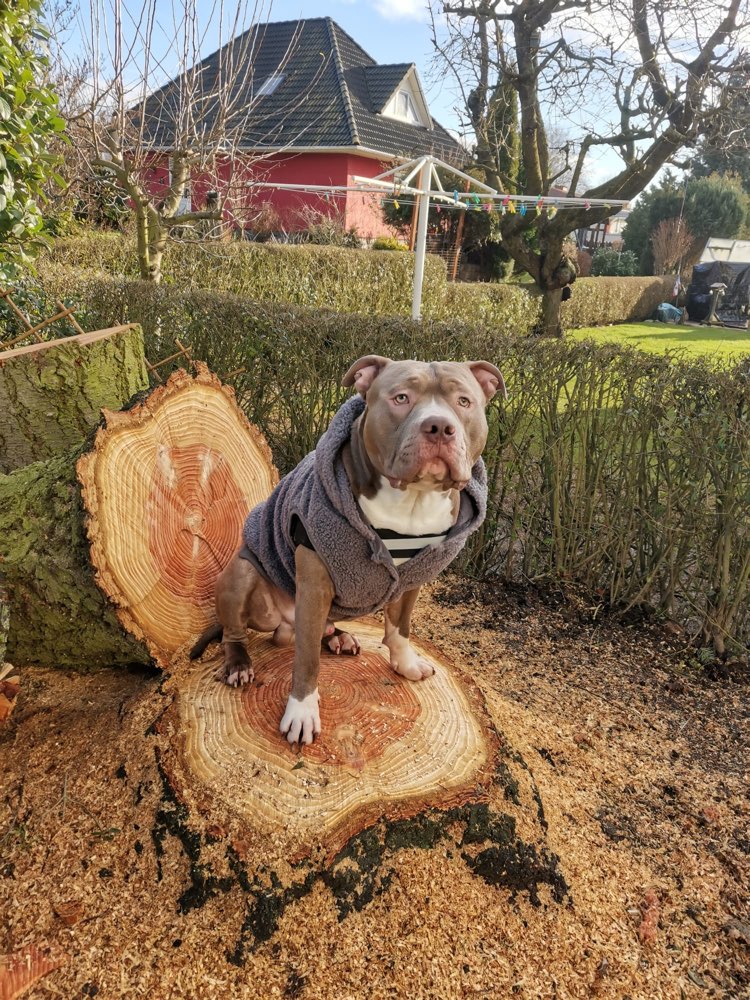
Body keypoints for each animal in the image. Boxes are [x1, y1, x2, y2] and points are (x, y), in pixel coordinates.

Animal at [189, 356, 506, 748]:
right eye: (401, 398)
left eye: (464, 401)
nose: (439, 426)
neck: (412, 500)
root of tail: (283, 627)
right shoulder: (314, 579)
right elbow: (307, 660)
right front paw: (302, 712)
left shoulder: (413, 577)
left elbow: (400, 627)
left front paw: (406, 663)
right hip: (242, 574)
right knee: (236, 632)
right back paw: (238, 664)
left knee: (319, 629)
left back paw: (338, 636)